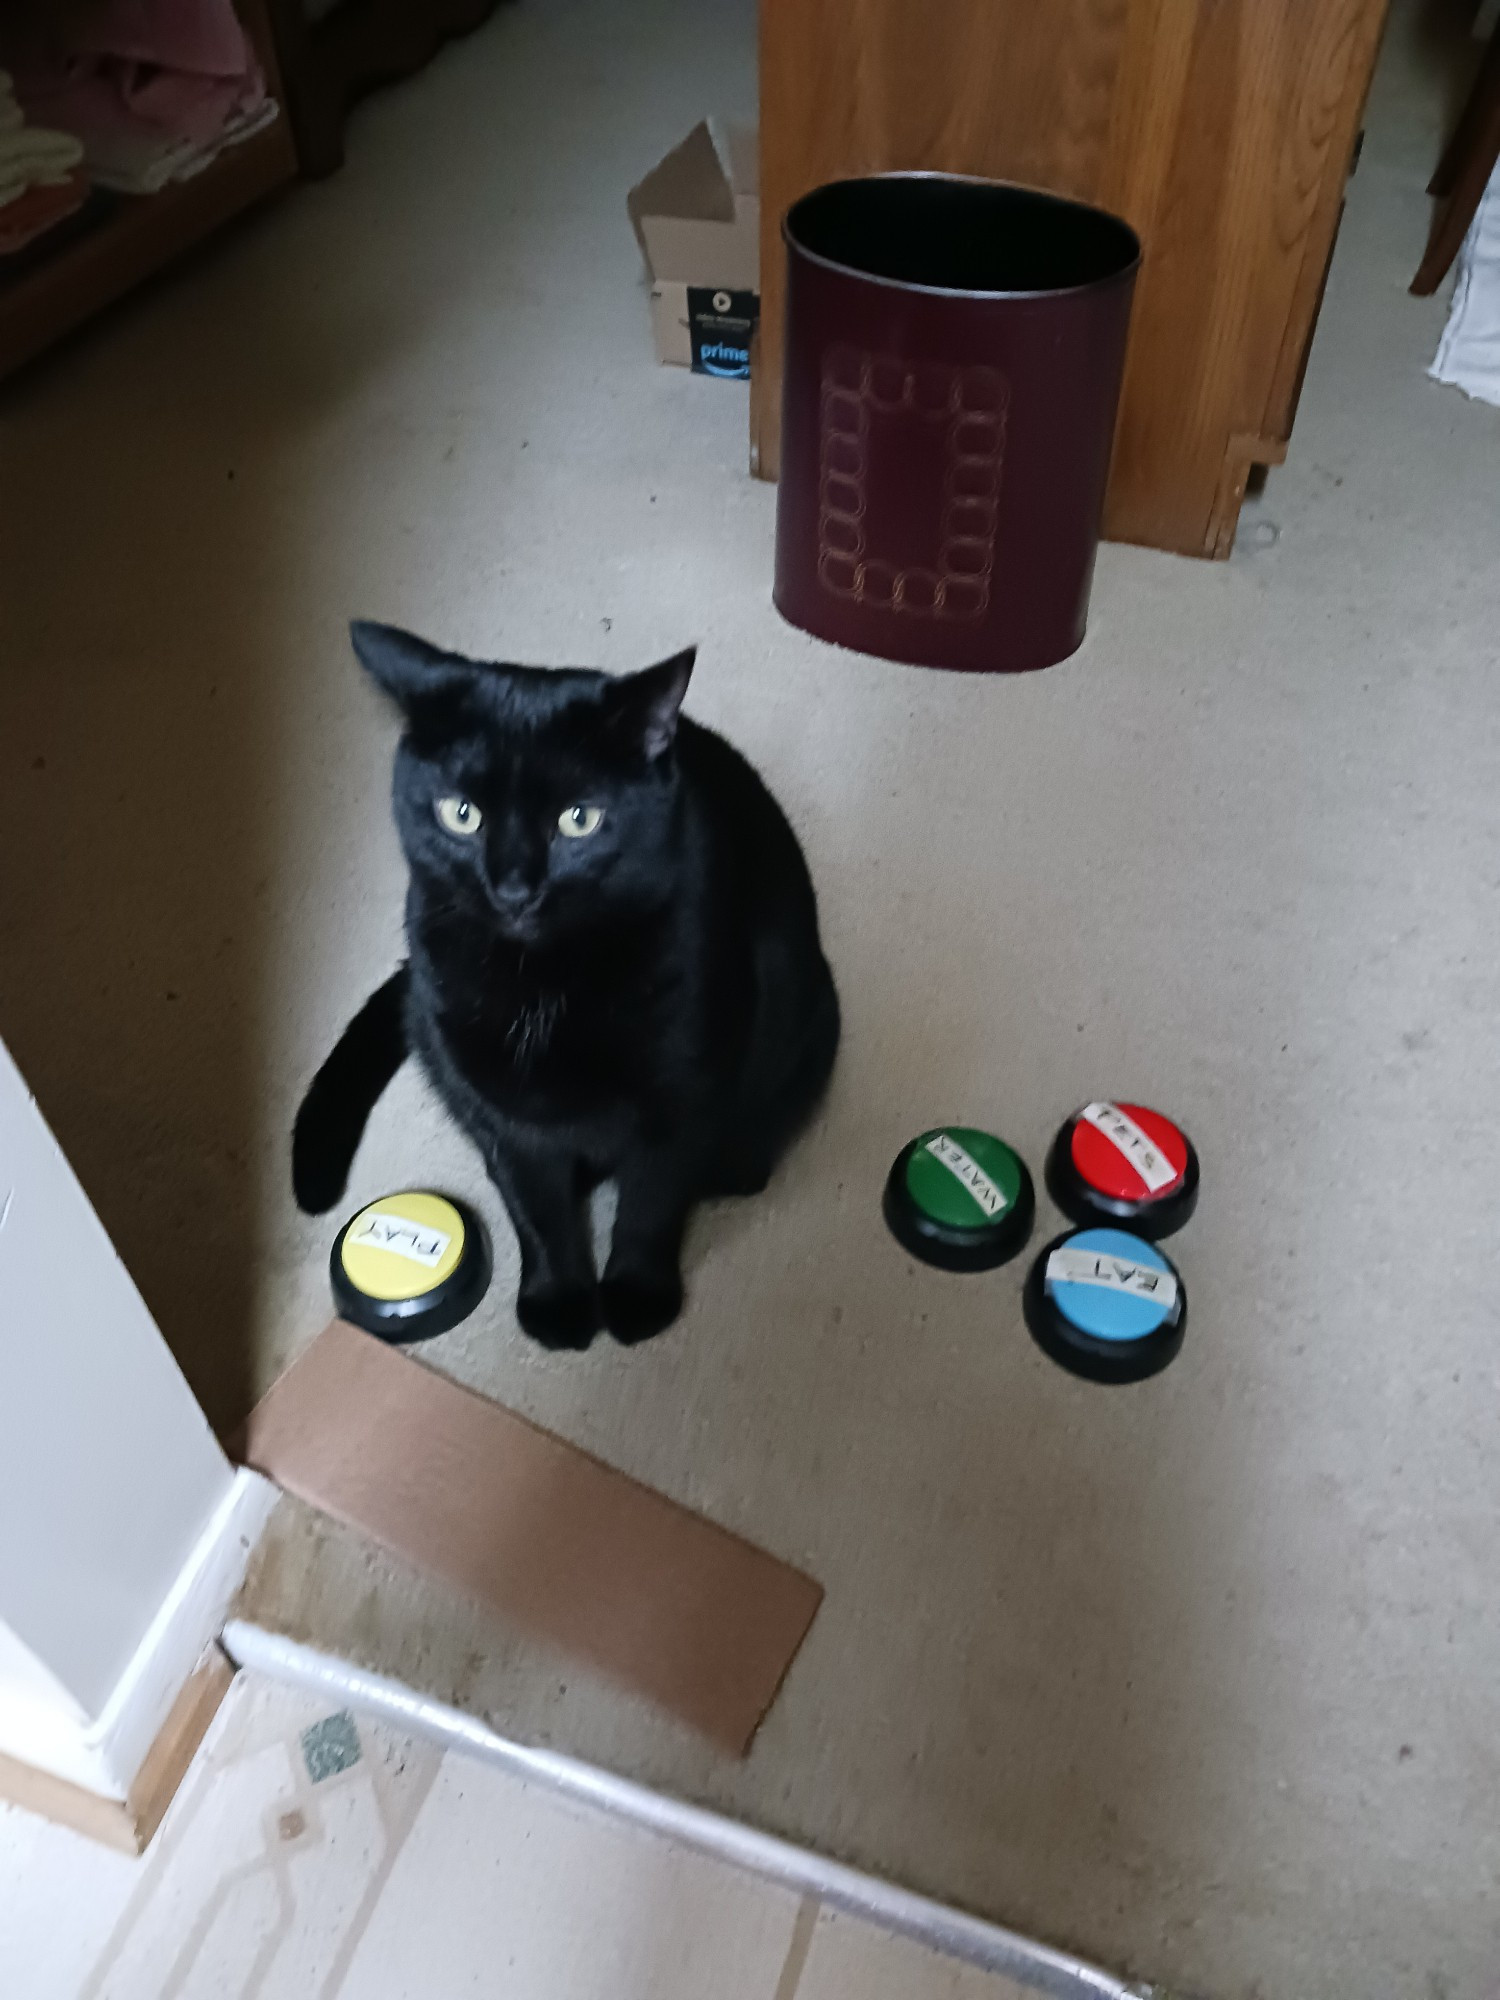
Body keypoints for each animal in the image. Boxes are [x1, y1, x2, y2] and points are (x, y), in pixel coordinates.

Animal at [288, 616, 840, 1352]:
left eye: (579, 819)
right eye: (461, 814)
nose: (514, 887)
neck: (544, 982)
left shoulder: (682, 1100)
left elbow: (650, 1206)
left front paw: (637, 1296)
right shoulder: (507, 1118)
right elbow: (537, 1209)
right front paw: (556, 1302)